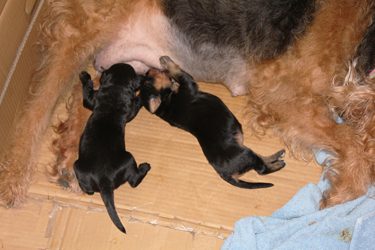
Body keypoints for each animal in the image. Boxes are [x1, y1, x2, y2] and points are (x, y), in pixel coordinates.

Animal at [73, 64, 151, 232]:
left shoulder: (92, 100)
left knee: (88, 190)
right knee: (133, 181)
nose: (144, 76)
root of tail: (105, 181)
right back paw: (144, 167)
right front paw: (143, 92)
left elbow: (87, 94)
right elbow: (136, 103)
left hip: (78, 167)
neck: (116, 86)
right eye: (134, 72)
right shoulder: (130, 109)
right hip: (129, 158)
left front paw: (84, 76)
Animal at [141, 56, 284, 188]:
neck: (165, 103)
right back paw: (279, 164)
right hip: (246, 154)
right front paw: (165, 61)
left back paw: (277, 156)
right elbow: (178, 72)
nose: (147, 70)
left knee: (261, 159)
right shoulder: (187, 84)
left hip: (246, 152)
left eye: (146, 78)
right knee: (261, 169)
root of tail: (226, 175)